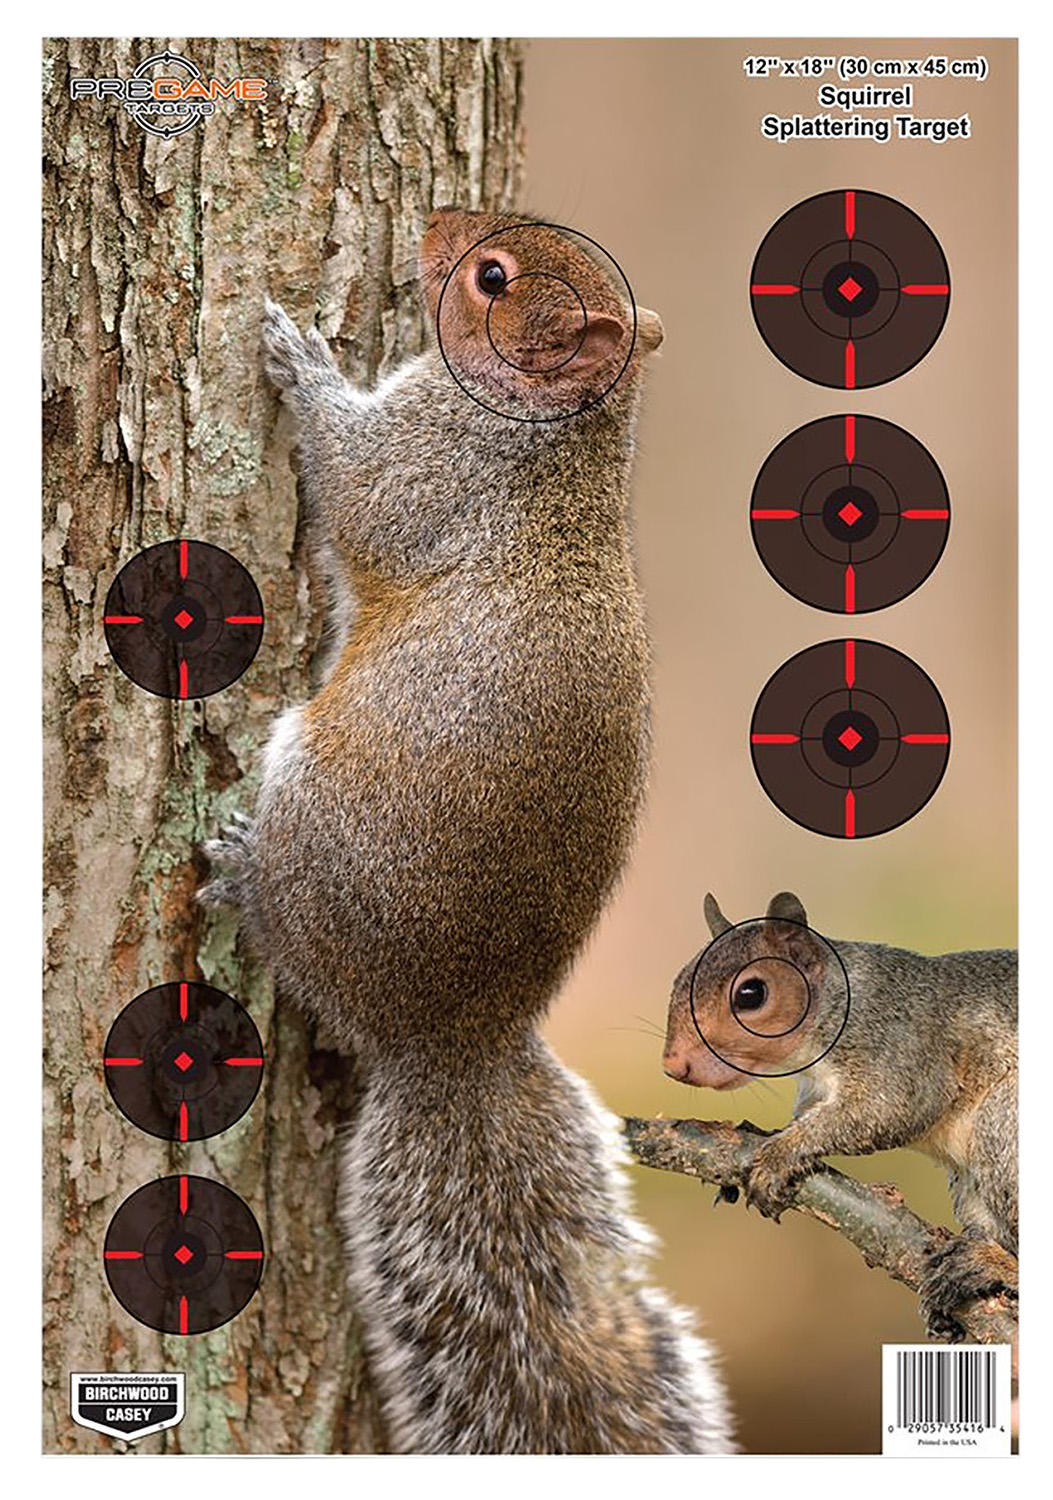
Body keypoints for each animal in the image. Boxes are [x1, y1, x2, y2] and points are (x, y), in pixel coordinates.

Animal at [202, 209, 733, 1453]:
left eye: (494, 277)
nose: (436, 227)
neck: (561, 438)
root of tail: (453, 1039)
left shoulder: (429, 469)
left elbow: (354, 488)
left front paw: (302, 359)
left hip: (316, 817)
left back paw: (241, 877)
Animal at [663, 891, 1017, 1337]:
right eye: (679, 979)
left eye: (750, 994)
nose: (674, 1065)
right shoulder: (815, 1089)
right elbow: (807, 1115)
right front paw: (762, 1135)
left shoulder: (901, 1048)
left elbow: (890, 1109)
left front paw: (778, 1156)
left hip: (1003, 1124)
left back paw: (994, 1266)